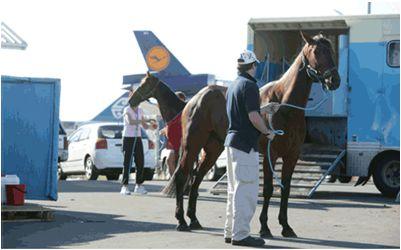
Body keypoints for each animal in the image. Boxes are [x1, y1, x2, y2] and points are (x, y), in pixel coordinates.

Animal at [256, 31, 340, 238]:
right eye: (317, 52)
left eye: (332, 51)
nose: (334, 80)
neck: (283, 106)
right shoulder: (270, 155)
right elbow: (268, 189)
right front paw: (264, 227)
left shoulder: (292, 155)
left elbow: (285, 189)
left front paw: (286, 226)